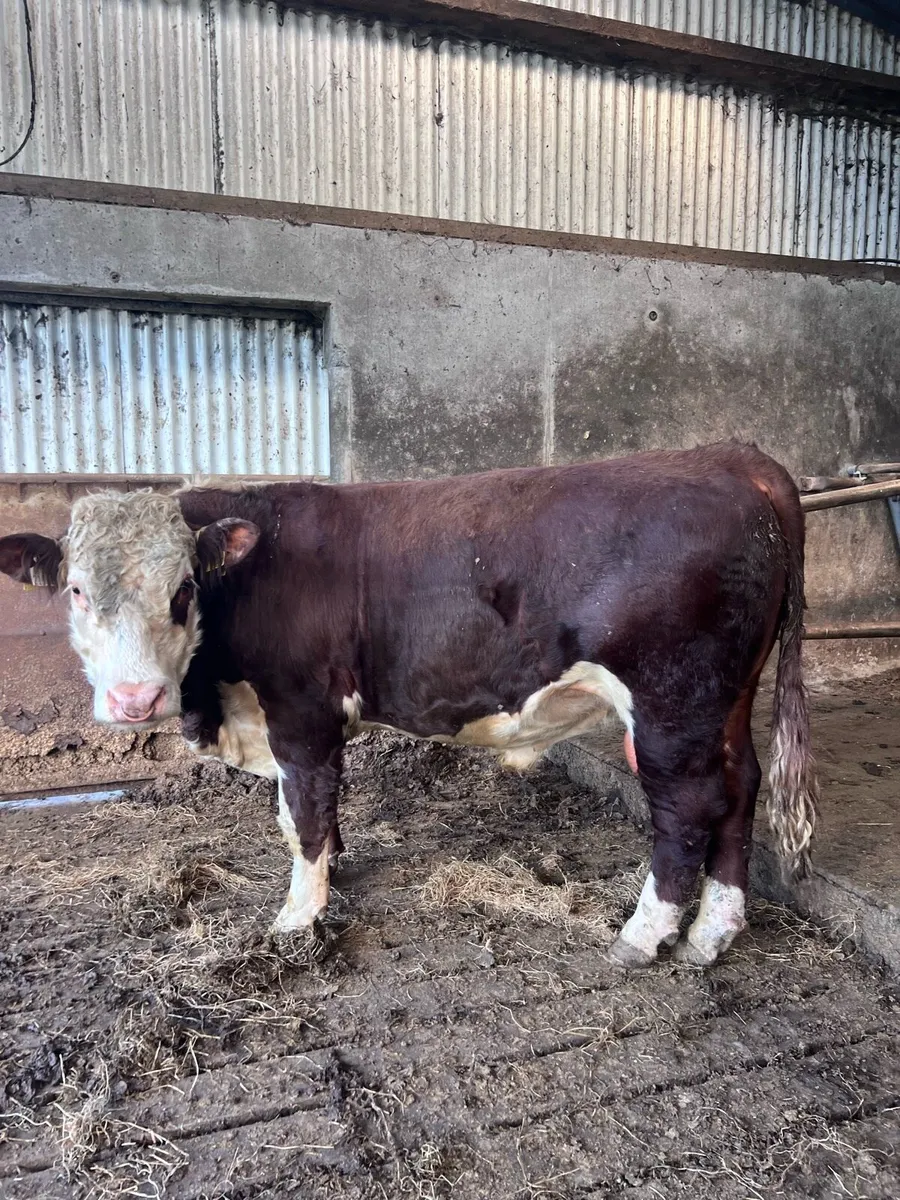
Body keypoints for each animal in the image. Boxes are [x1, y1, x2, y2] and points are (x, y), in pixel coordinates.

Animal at [0, 442, 818, 968]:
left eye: (183, 591)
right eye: (77, 591)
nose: (134, 699)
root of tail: (732, 458)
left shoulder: (301, 713)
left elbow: (301, 815)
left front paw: (299, 917)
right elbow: (319, 813)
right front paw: (333, 874)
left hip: (671, 705)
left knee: (687, 810)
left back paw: (646, 936)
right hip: (724, 701)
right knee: (740, 789)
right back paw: (715, 932)